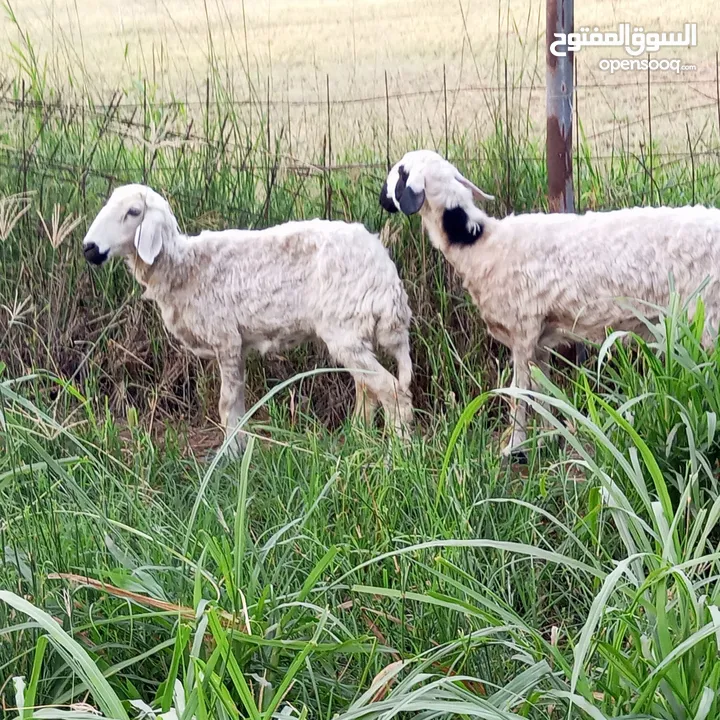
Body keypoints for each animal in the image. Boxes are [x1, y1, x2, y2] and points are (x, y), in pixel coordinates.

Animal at [81, 184, 414, 456]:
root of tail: (388, 275)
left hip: (346, 329)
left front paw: (227, 456)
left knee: (392, 390)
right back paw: (358, 439)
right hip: (355, 329)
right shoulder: (237, 345)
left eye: (134, 212)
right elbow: (237, 403)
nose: (89, 249)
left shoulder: (225, 338)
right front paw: (238, 448)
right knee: (367, 389)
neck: (184, 267)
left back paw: (398, 454)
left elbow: (226, 403)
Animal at [380, 150, 720, 462]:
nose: (382, 199)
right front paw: (546, 440)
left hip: (708, 315)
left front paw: (514, 448)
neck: (480, 242)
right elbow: (543, 393)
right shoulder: (540, 339)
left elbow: (519, 394)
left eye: (399, 173)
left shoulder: (522, 330)